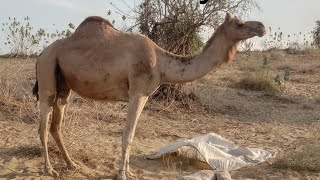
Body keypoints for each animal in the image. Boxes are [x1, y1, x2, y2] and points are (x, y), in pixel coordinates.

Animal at [33, 12, 266, 179]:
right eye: (240, 23)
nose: (262, 26)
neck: (161, 63)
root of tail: (40, 54)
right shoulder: (137, 92)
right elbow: (127, 135)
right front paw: (121, 174)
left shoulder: (144, 95)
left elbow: (132, 134)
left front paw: (130, 171)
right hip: (47, 75)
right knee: (43, 126)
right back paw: (49, 170)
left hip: (63, 86)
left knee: (56, 125)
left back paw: (71, 164)